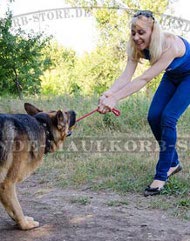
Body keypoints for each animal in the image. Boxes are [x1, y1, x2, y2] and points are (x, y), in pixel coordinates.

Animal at [0, 102, 75, 231]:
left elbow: (10, 208)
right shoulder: (7, 184)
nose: (75, 111)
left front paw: (19, 221)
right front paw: (25, 225)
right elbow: (17, 207)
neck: (44, 127)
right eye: (67, 115)